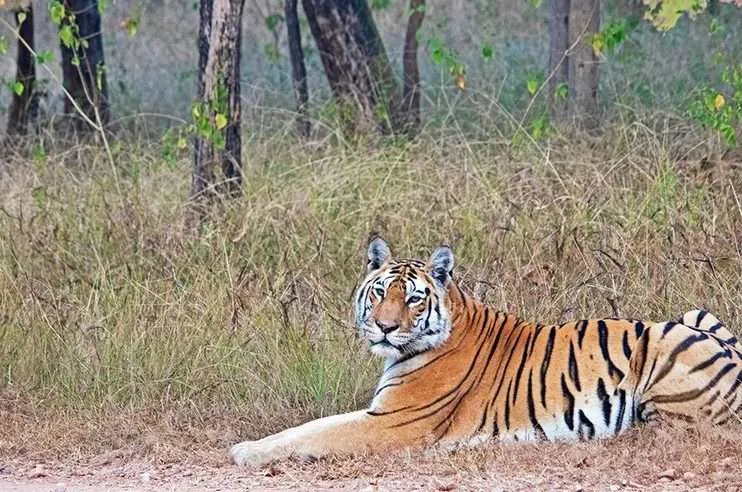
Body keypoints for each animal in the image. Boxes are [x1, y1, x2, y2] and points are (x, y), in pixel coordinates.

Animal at [231, 237, 742, 466]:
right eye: (379, 292)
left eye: (413, 298)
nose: (385, 327)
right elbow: (309, 427)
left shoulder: (391, 422)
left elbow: (314, 433)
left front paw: (246, 451)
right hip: (695, 313)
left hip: (664, 342)